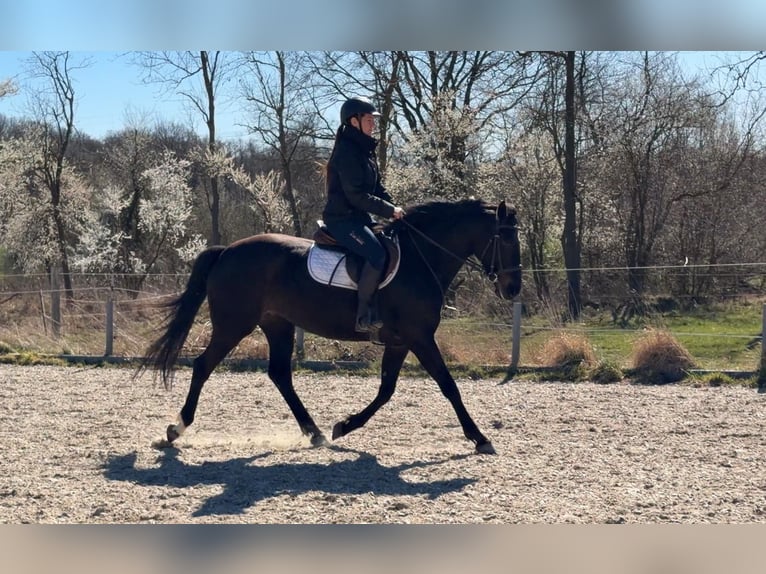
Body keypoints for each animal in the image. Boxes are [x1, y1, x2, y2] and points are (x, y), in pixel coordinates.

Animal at [137, 198, 522, 454]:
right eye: (505, 239)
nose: (513, 288)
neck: (419, 259)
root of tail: (227, 250)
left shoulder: (401, 342)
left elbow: (386, 390)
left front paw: (344, 426)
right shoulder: (420, 337)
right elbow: (449, 386)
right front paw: (480, 438)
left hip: (277, 324)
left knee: (280, 374)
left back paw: (316, 433)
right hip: (235, 324)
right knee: (203, 365)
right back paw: (176, 429)